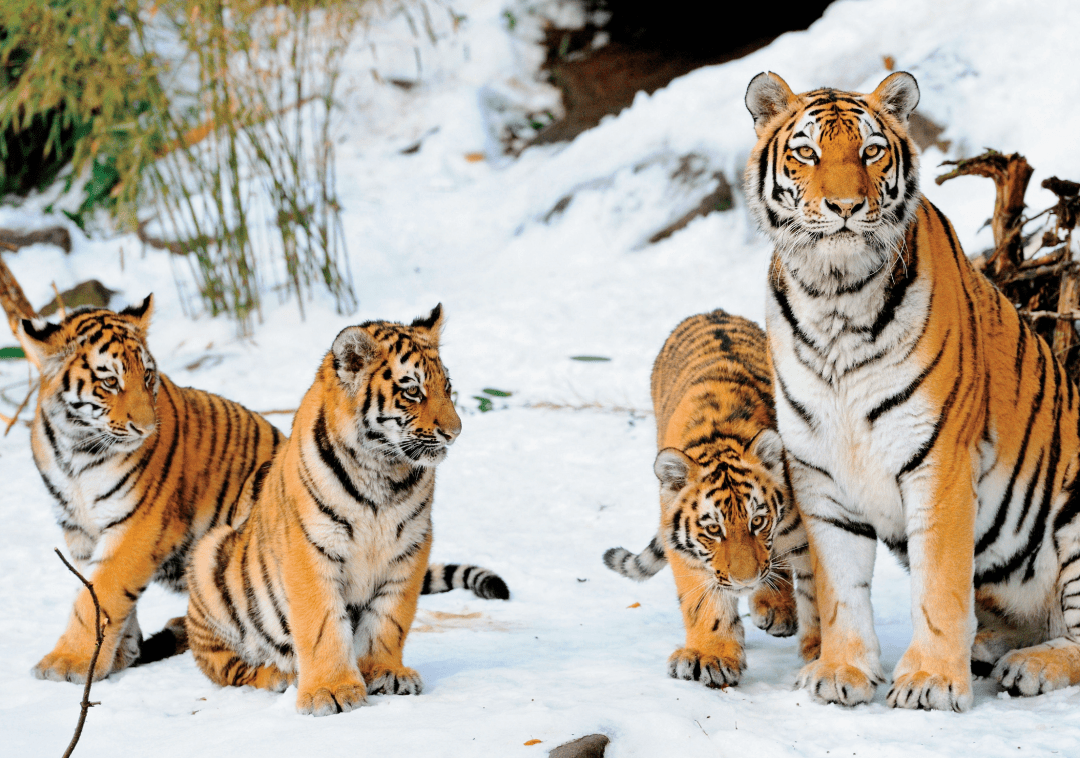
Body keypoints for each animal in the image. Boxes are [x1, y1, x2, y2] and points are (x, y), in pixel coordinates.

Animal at [17, 295, 286, 683]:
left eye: (145, 375)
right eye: (109, 381)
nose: (145, 429)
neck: (77, 449)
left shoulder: (138, 524)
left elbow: (102, 592)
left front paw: (69, 662)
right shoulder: (78, 528)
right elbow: (93, 590)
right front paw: (116, 654)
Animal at [185, 305, 509, 716]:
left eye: (447, 387)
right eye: (413, 390)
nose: (455, 432)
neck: (383, 473)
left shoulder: (410, 548)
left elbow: (390, 618)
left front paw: (385, 673)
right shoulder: (310, 550)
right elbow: (323, 624)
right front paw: (330, 691)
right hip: (208, 555)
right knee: (226, 666)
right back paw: (277, 675)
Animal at [603, 310, 818, 688]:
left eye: (758, 521)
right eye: (714, 530)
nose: (746, 581)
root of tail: (715, 312)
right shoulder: (682, 548)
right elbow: (703, 604)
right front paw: (711, 656)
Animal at [745, 70, 1080, 711]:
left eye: (871, 151)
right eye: (807, 153)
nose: (845, 207)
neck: (835, 298)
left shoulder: (939, 460)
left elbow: (940, 582)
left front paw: (930, 681)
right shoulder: (819, 471)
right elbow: (840, 587)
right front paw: (842, 671)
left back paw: (1031, 666)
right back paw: (989, 648)